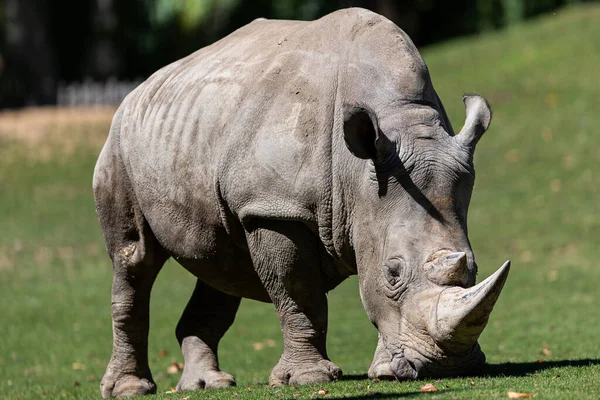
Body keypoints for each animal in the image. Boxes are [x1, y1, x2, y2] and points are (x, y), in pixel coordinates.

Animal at [94, 7, 510, 398]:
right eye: (392, 273)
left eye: (473, 267)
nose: (447, 366)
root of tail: (139, 89)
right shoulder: (275, 208)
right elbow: (298, 293)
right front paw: (309, 378)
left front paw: (381, 373)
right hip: (120, 144)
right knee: (135, 260)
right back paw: (130, 388)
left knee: (221, 262)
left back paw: (207, 385)